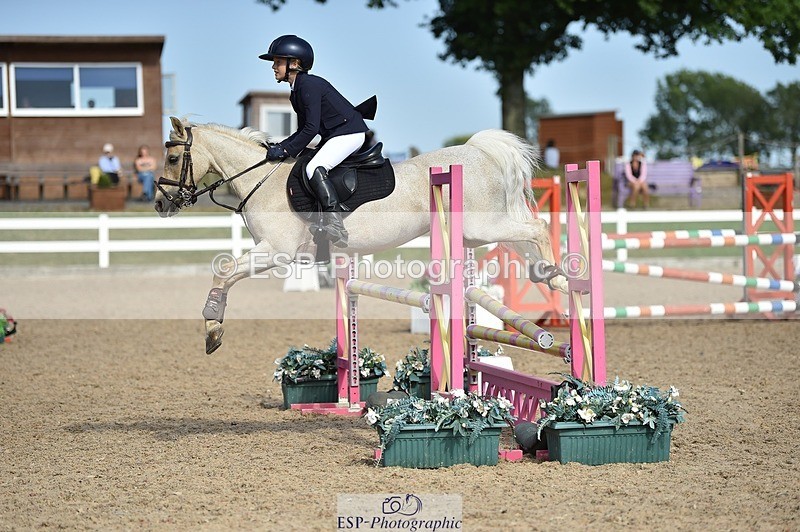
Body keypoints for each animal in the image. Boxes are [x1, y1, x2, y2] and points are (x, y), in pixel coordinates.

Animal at [155, 116, 568, 354]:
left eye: (173, 159)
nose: (160, 203)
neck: (262, 179)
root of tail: (478, 151)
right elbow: (226, 273)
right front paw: (213, 329)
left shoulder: (277, 252)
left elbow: (223, 272)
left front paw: (212, 328)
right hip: (480, 232)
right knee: (525, 242)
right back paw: (549, 275)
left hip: (478, 227)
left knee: (537, 228)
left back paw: (557, 275)